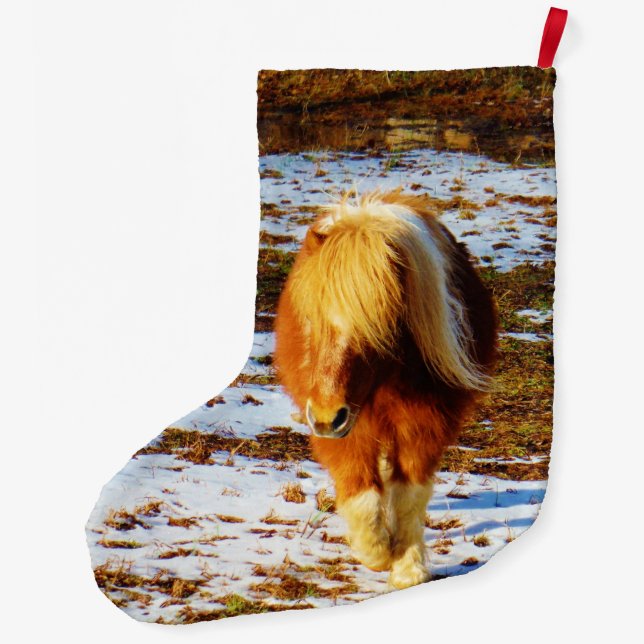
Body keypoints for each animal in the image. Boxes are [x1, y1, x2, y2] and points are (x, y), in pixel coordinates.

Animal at [274, 189, 498, 589]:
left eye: (378, 328)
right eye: (311, 320)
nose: (327, 417)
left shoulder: (425, 425)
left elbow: (409, 495)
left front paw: (408, 567)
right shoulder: (346, 429)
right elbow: (361, 492)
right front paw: (376, 552)